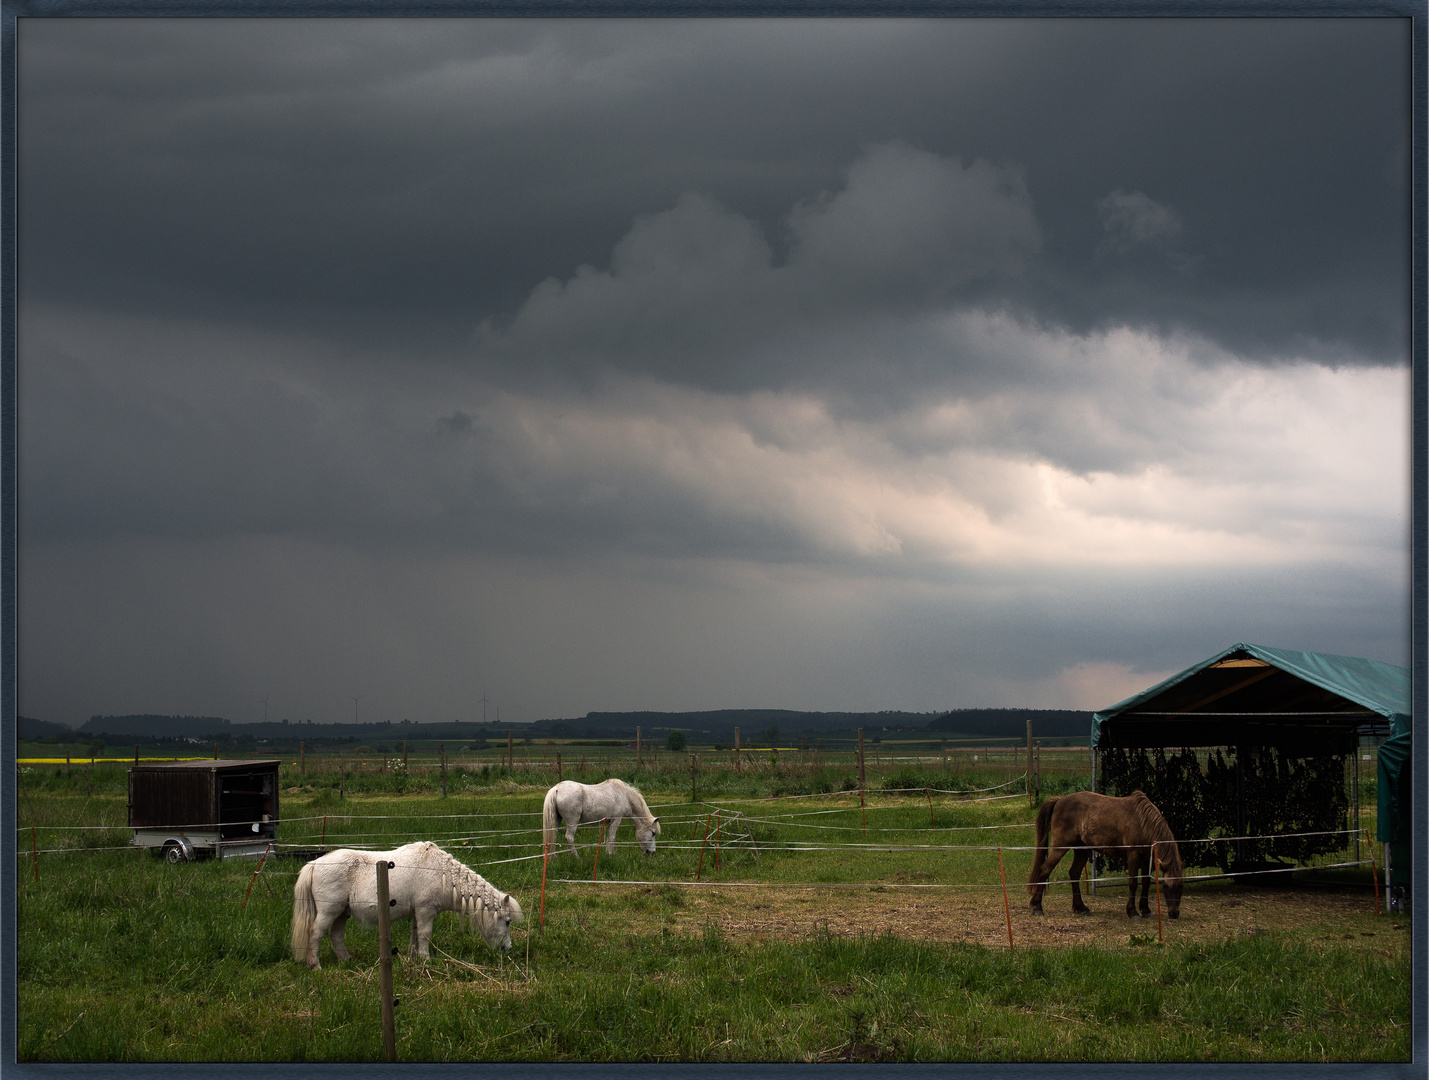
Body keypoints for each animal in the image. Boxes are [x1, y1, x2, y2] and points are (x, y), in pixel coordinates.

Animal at [287, 840, 523, 965]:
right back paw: (315, 965)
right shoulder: (426, 910)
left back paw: (346, 961)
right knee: (315, 935)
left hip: (341, 914)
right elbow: (425, 935)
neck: (443, 873)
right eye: (507, 921)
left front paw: (414, 956)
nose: (507, 948)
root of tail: (314, 864)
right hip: (329, 911)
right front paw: (426, 960)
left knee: (336, 936)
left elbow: (415, 935)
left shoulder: (417, 912)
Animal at [1028, 788, 1183, 914]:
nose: (1174, 913)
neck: (1142, 822)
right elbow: (1133, 883)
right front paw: (1132, 911)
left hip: (1081, 850)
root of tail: (1059, 800)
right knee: (1044, 869)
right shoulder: (1133, 855)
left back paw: (1080, 907)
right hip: (1060, 847)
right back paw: (1037, 907)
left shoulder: (1147, 858)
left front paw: (1145, 910)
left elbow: (1145, 882)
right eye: (1165, 885)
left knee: (1074, 873)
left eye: (1180, 886)